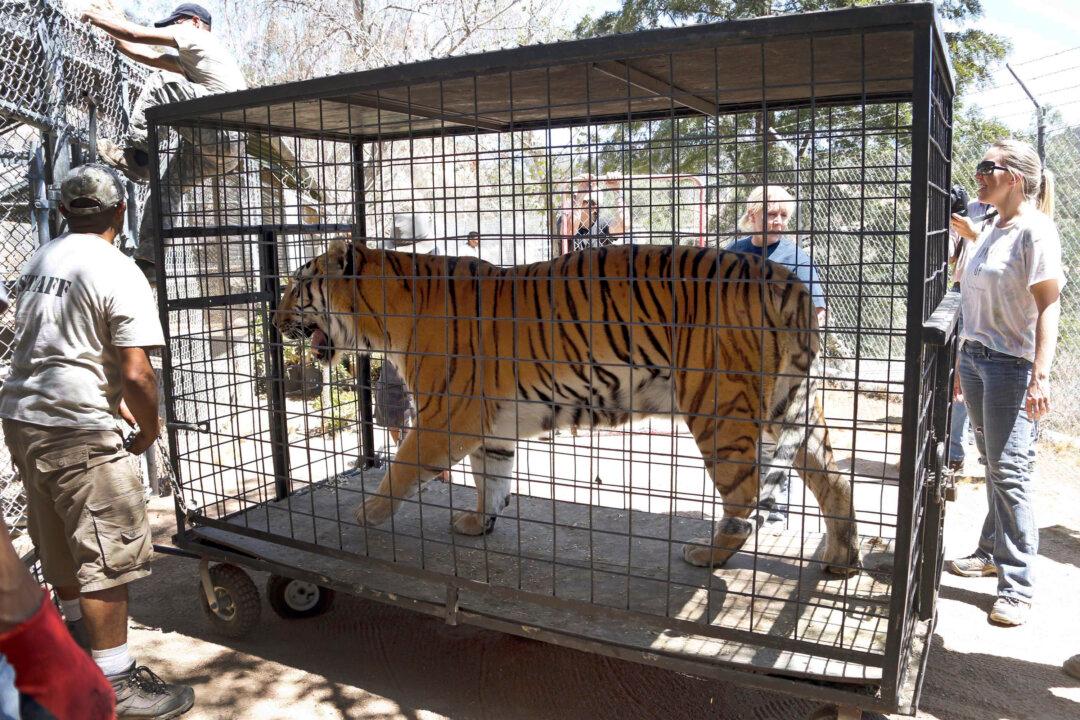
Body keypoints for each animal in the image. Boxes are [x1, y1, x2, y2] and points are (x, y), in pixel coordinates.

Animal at [273, 239, 861, 573]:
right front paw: (479, 522)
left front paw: (366, 514)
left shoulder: (445, 417)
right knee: (835, 479)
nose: (273, 322)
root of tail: (787, 279)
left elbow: (400, 469)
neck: (385, 312)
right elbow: (492, 478)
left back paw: (708, 555)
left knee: (745, 497)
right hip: (791, 407)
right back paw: (841, 559)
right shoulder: (489, 425)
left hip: (719, 409)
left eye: (299, 287)